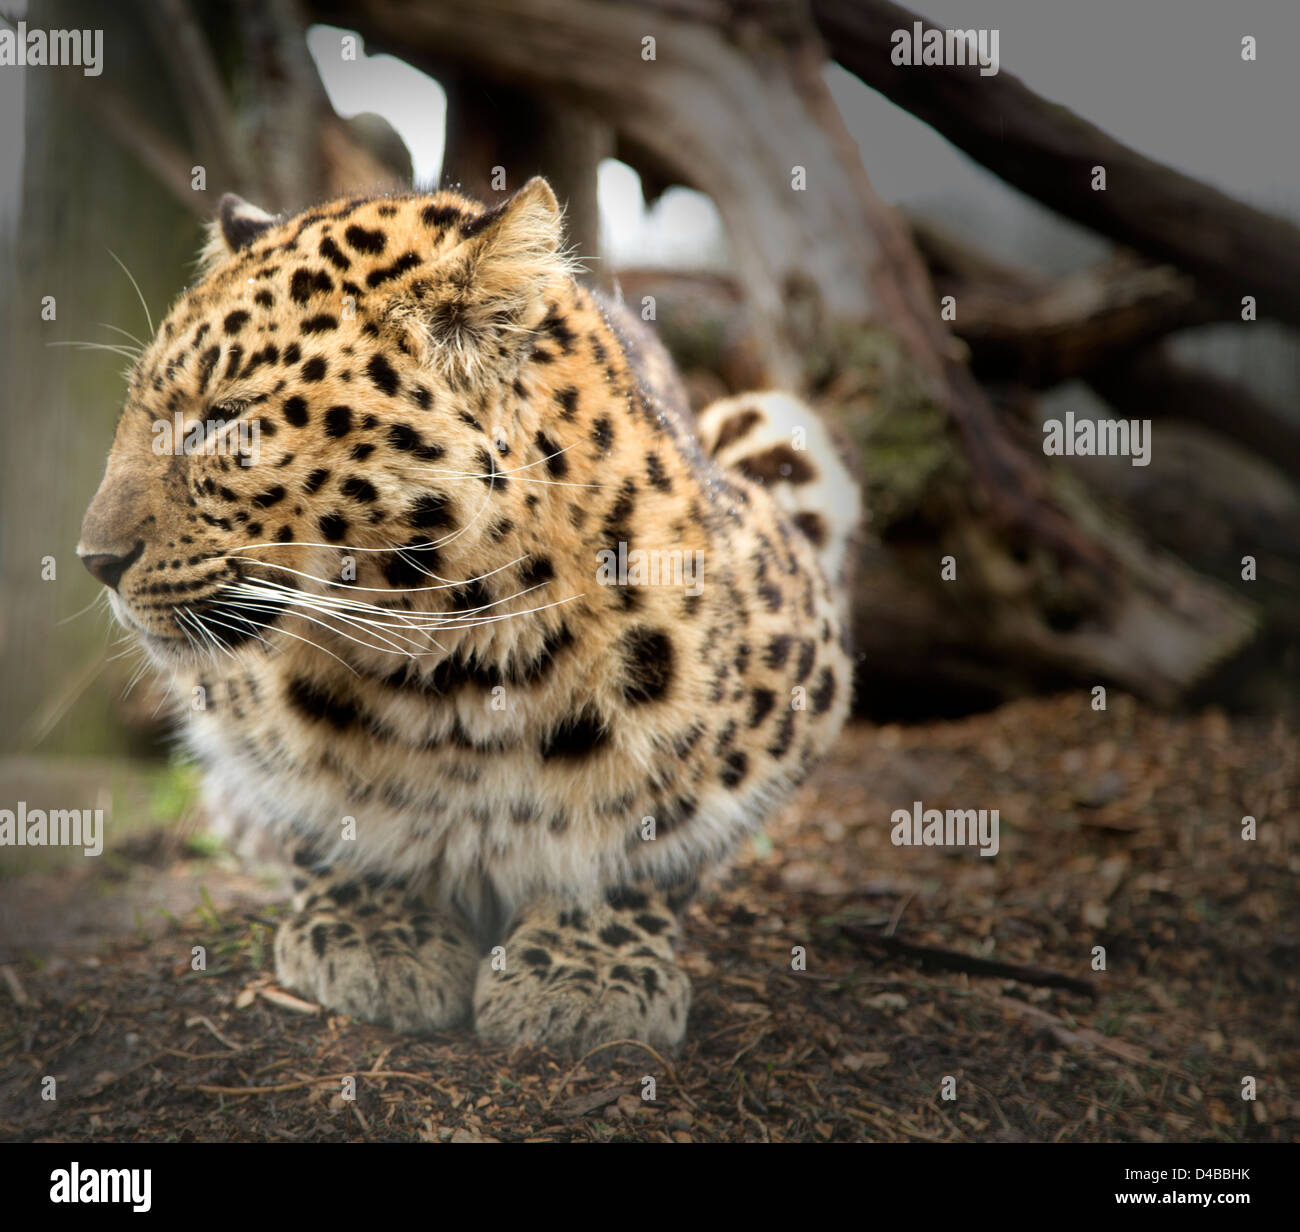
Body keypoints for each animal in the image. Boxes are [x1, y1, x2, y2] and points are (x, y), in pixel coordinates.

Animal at [76, 178, 857, 1055]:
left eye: (225, 418)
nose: (92, 559)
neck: (451, 669)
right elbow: (314, 821)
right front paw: (373, 927)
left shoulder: (800, 659)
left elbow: (655, 842)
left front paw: (587, 968)